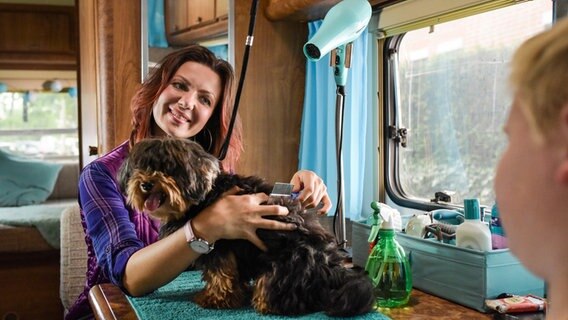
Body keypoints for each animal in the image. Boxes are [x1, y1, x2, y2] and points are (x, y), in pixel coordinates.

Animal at [117, 138, 374, 318]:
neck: (203, 197)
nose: (146, 184)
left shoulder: (220, 244)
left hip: (288, 263)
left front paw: (216, 298)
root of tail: (333, 268)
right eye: (140, 167)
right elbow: (231, 273)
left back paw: (266, 302)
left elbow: (220, 272)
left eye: (168, 168)